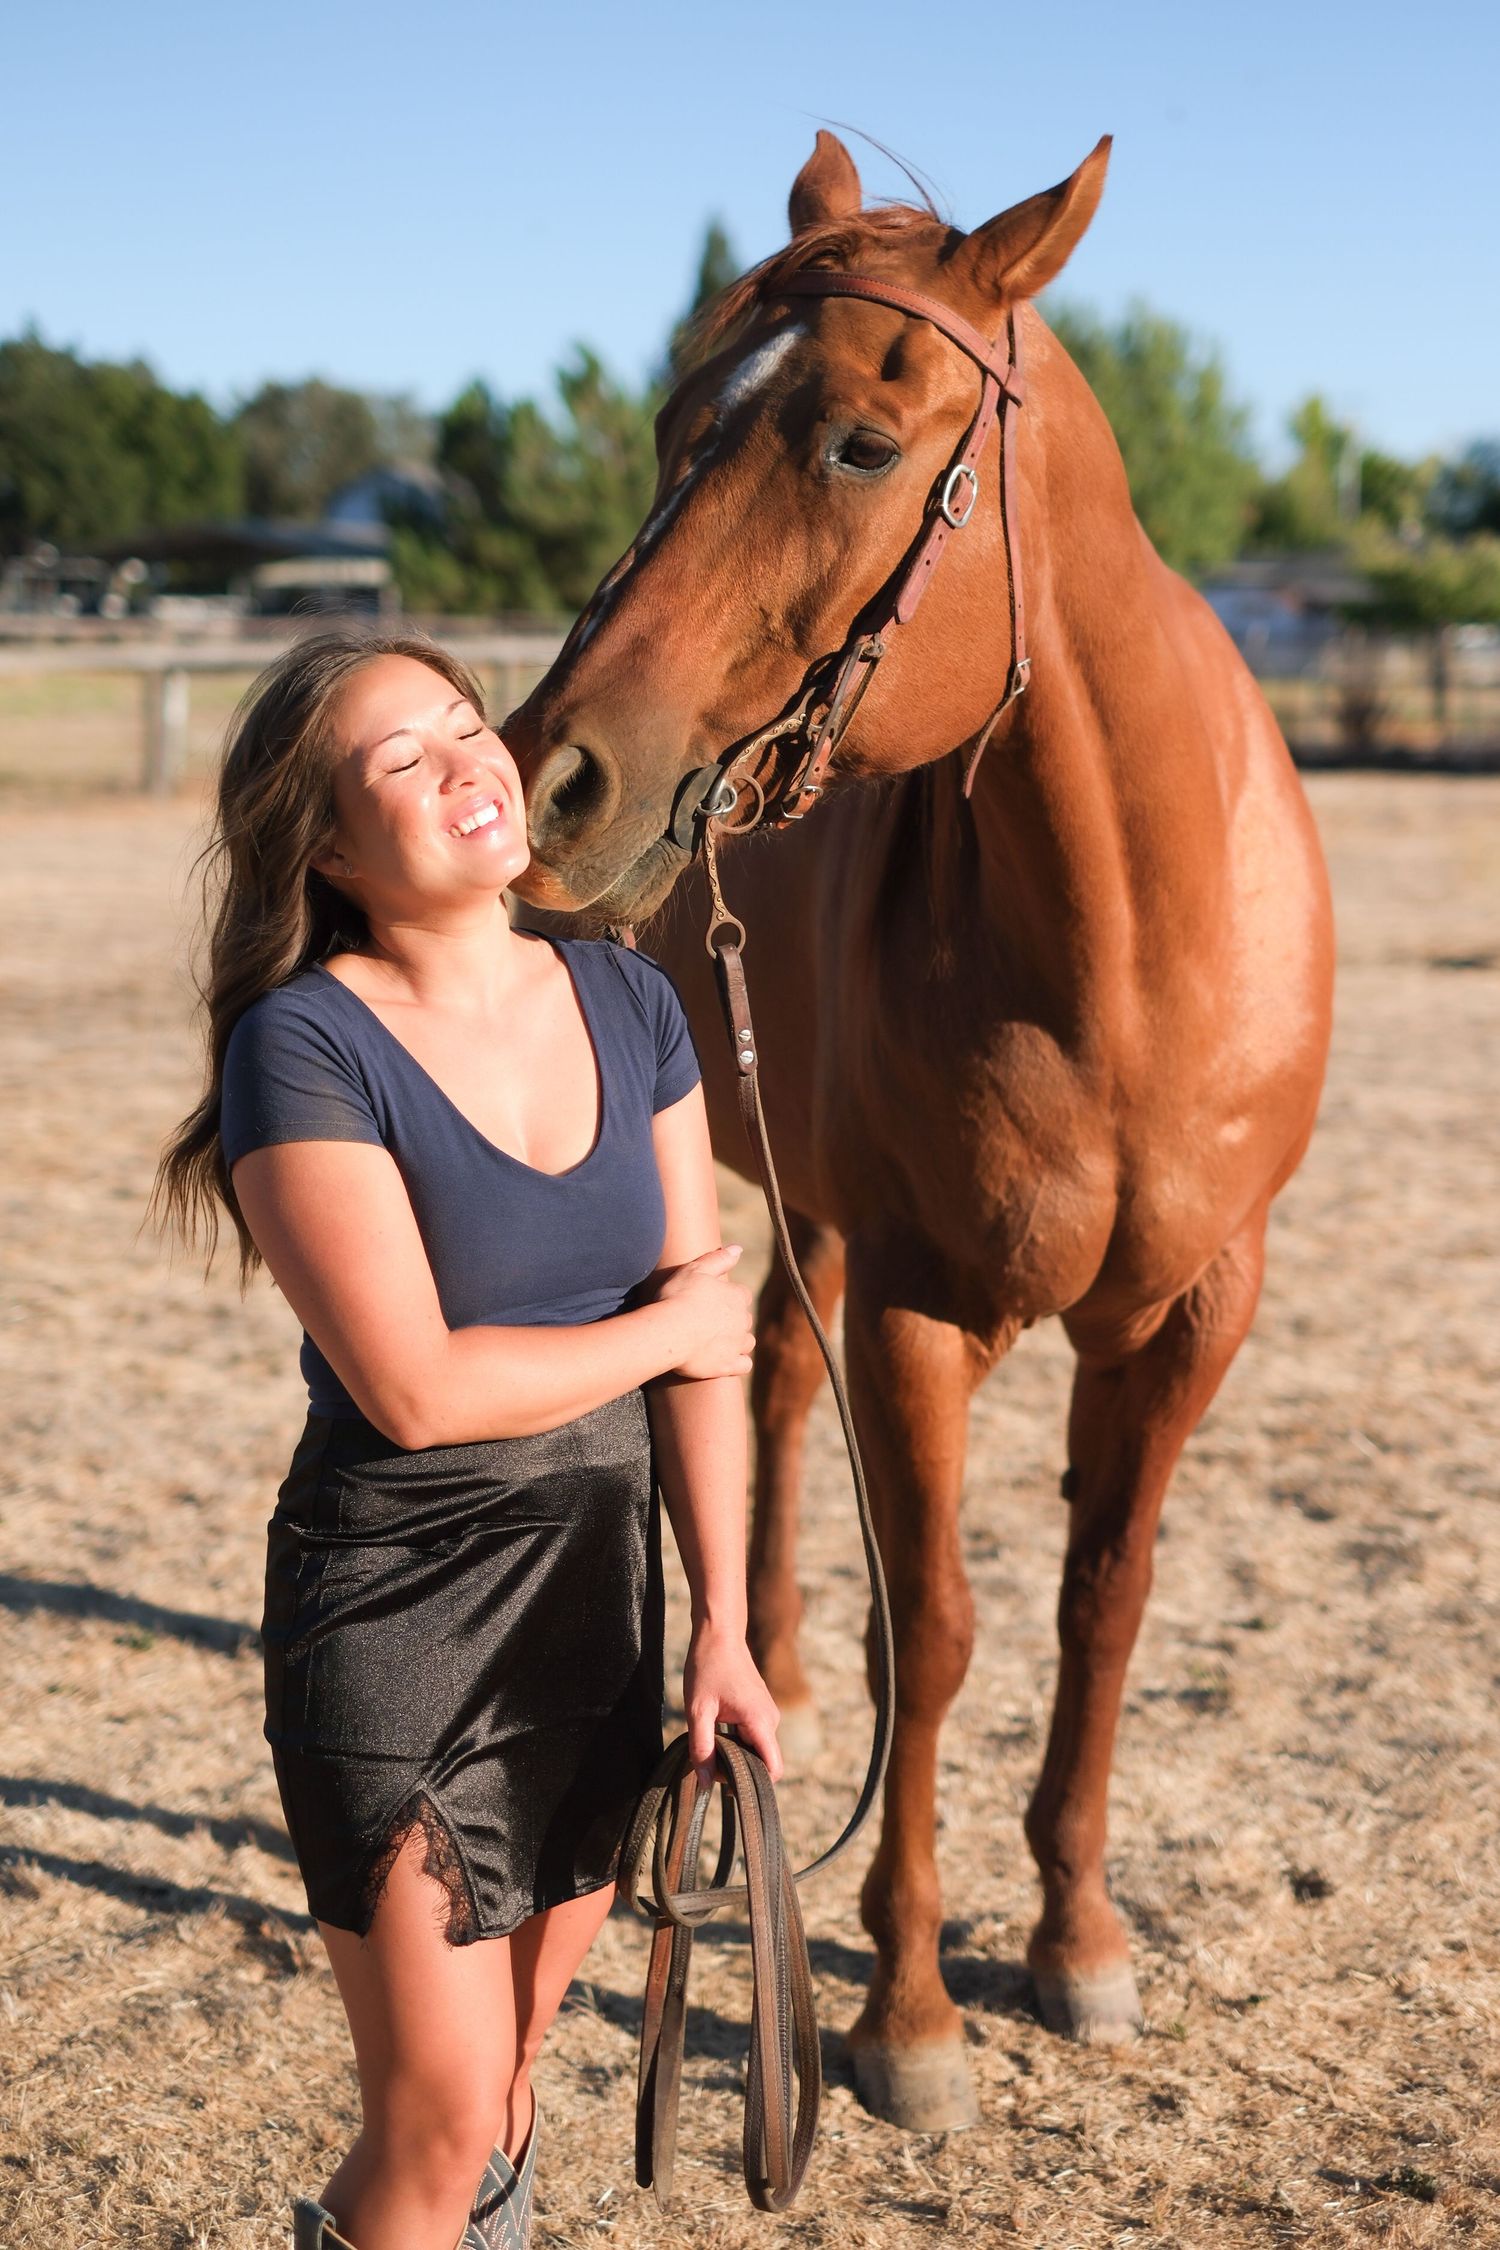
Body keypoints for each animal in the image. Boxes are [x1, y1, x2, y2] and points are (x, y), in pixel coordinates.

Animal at [503, 130, 1335, 2133]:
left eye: (861, 446)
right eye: (670, 425)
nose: (548, 779)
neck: (1131, 952)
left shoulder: (1198, 1310)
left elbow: (1102, 1607)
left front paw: (1079, 1942)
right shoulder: (914, 1306)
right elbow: (940, 1632)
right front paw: (908, 2012)